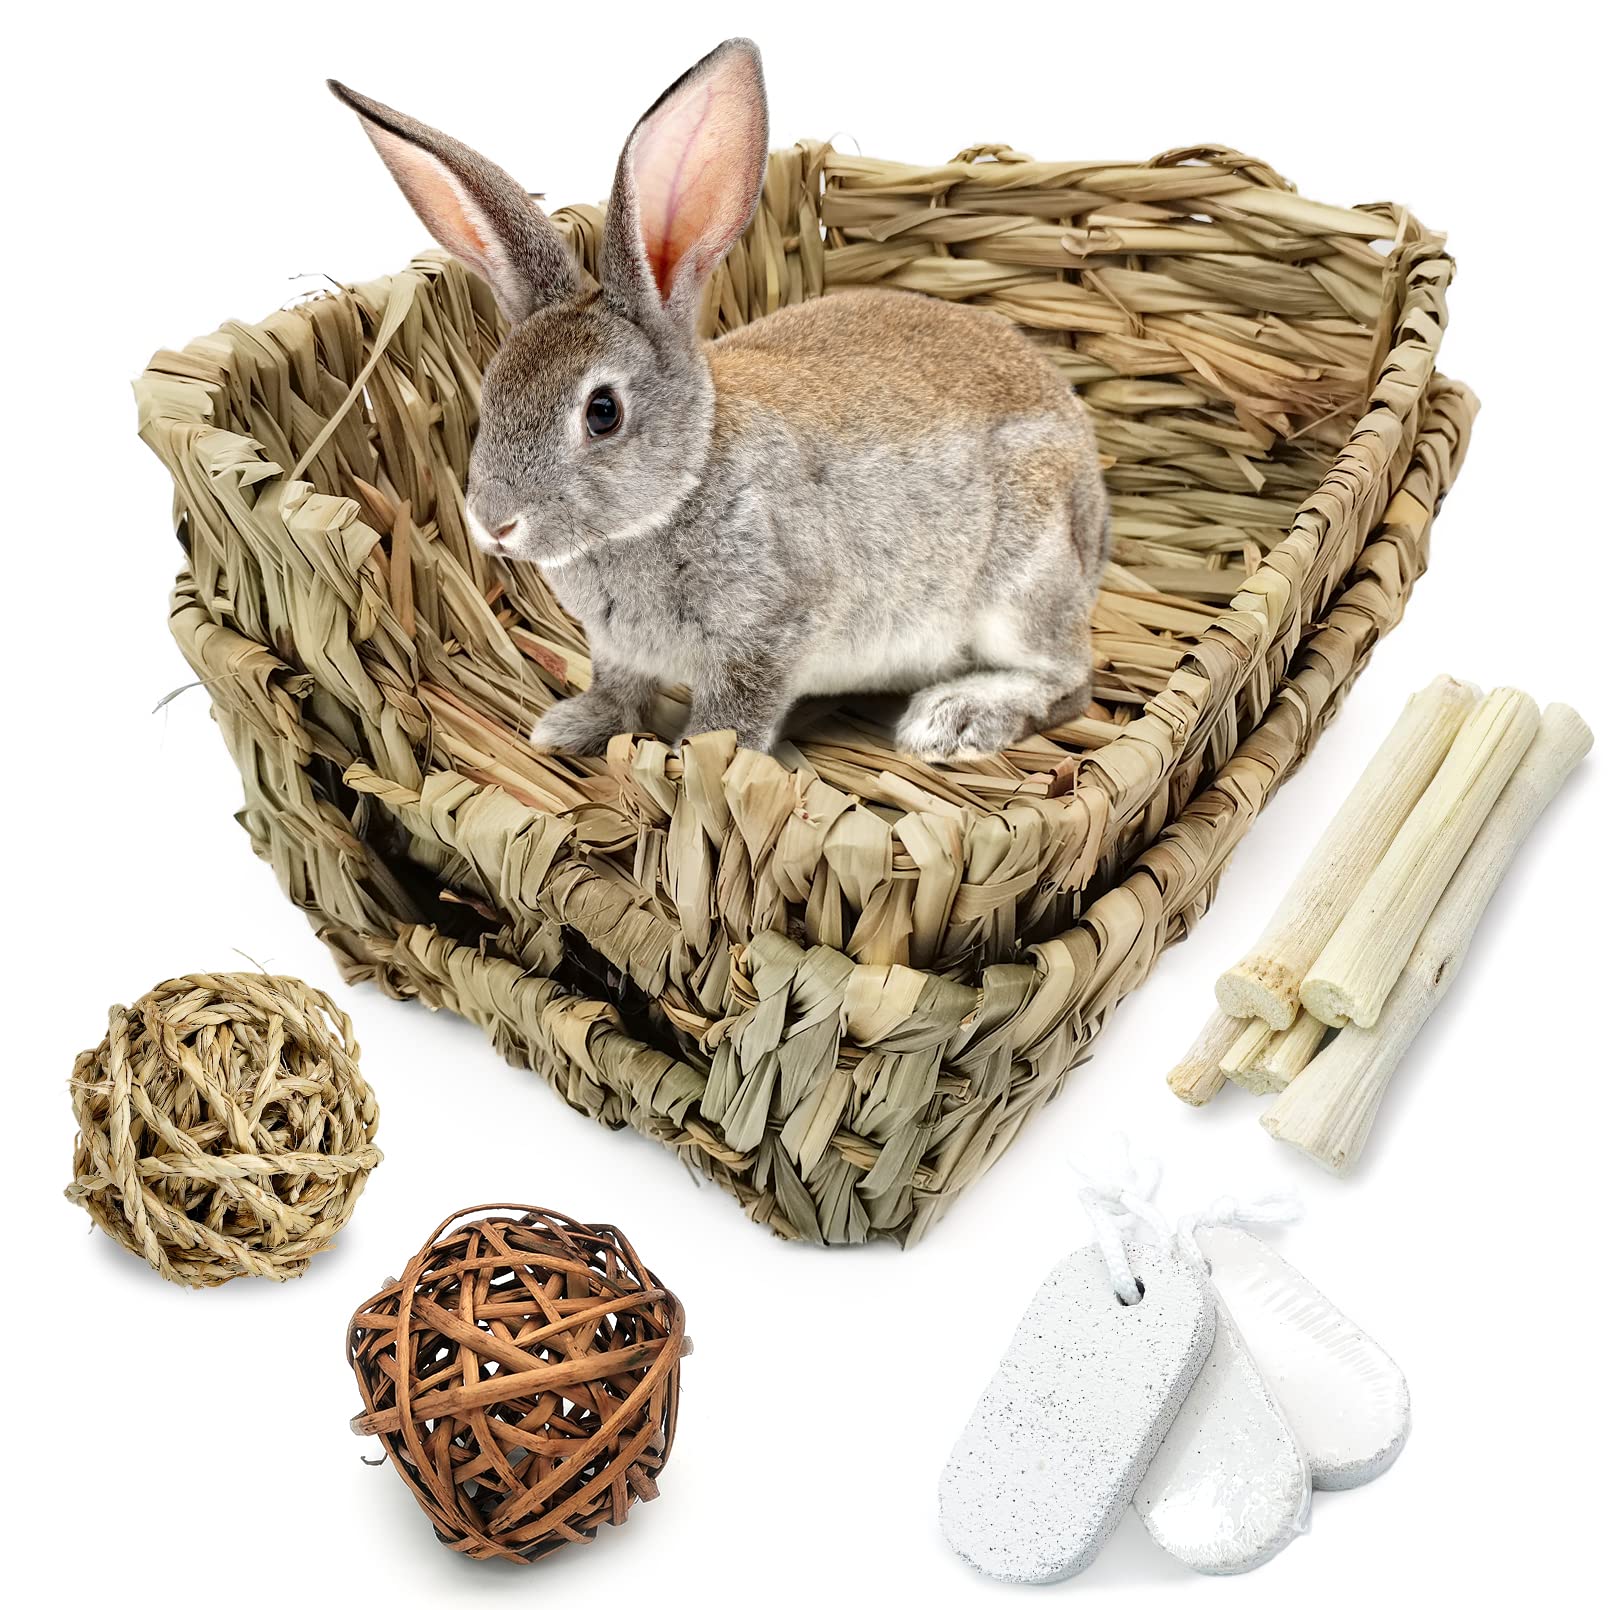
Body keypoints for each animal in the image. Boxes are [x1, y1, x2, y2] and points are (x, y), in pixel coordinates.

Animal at [330, 38, 1108, 761]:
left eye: (602, 412)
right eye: (488, 394)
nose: (494, 525)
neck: (681, 485)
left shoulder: (770, 632)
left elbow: (733, 716)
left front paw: (692, 764)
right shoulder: (618, 649)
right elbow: (620, 689)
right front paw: (569, 727)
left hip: (1021, 586)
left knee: (1068, 679)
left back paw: (955, 719)